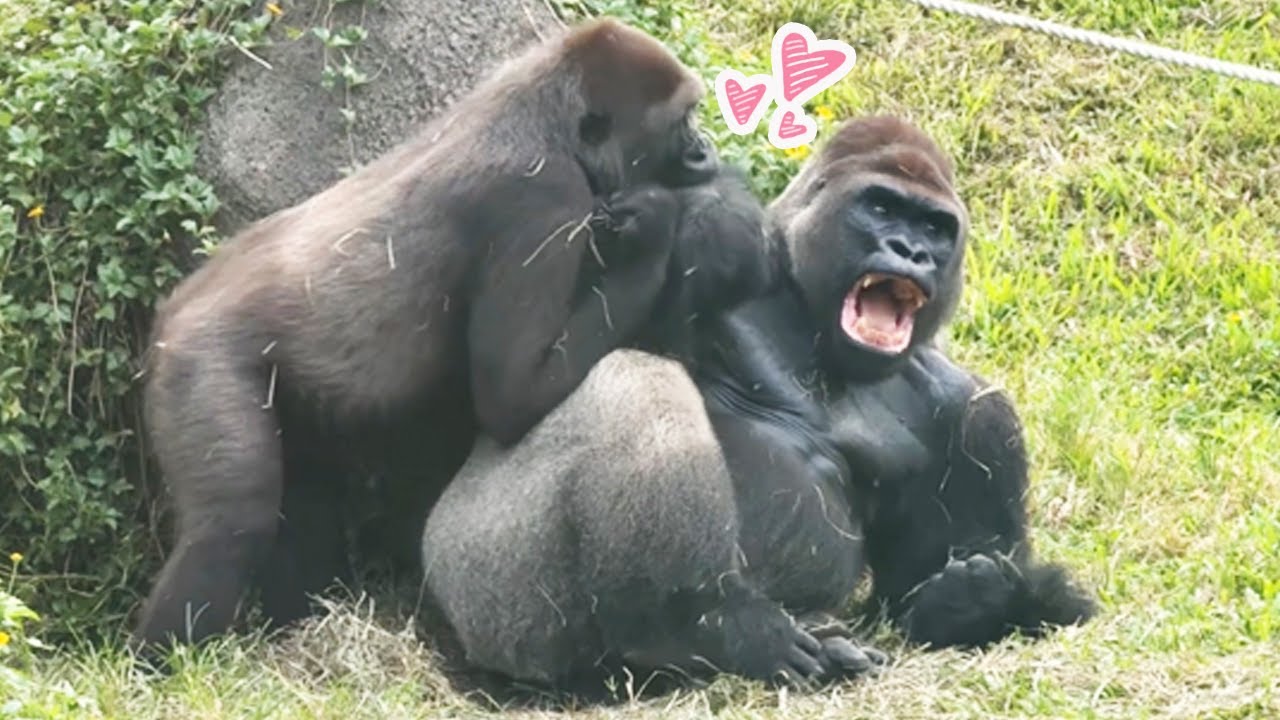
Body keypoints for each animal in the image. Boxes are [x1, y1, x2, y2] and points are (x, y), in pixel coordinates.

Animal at [132, 17, 727, 650]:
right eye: (681, 121)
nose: (705, 149)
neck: (550, 114)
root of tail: (174, 309)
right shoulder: (544, 200)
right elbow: (511, 396)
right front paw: (658, 227)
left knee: (304, 503)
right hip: (199, 355)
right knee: (231, 524)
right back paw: (160, 661)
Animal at [419, 115, 1095, 692]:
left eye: (935, 227)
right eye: (881, 207)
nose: (911, 251)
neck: (808, 312)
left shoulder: (978, 412)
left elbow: (916, 596)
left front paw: (980, 599)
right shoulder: (705, 230)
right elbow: (514, 380)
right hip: (485, 593)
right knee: (633, 376)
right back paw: (699, 626)